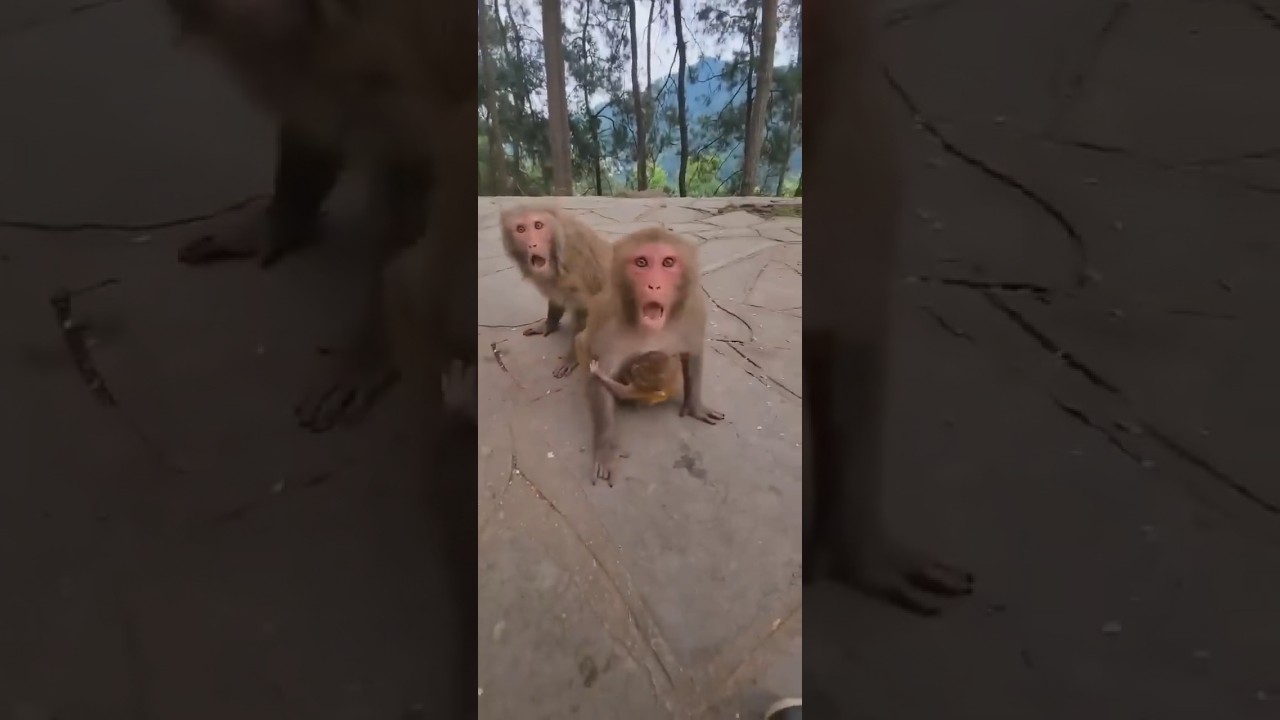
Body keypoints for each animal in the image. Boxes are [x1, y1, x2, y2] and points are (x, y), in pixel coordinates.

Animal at [498, 205, 612, 378]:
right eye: (521, 229)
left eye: (538, 225)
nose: (532, 244)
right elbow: (556, 295)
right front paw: (548, 325)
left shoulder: (574, 261)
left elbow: (585, 307)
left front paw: (572, 357)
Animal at [575, 228, 725, 486]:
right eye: (642, 262)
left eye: (668, 262)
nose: (654, 285)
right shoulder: (608, 321)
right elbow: (599, 374)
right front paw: (606, 448)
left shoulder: (693, 310)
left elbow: (693, 353)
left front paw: (695, 406)